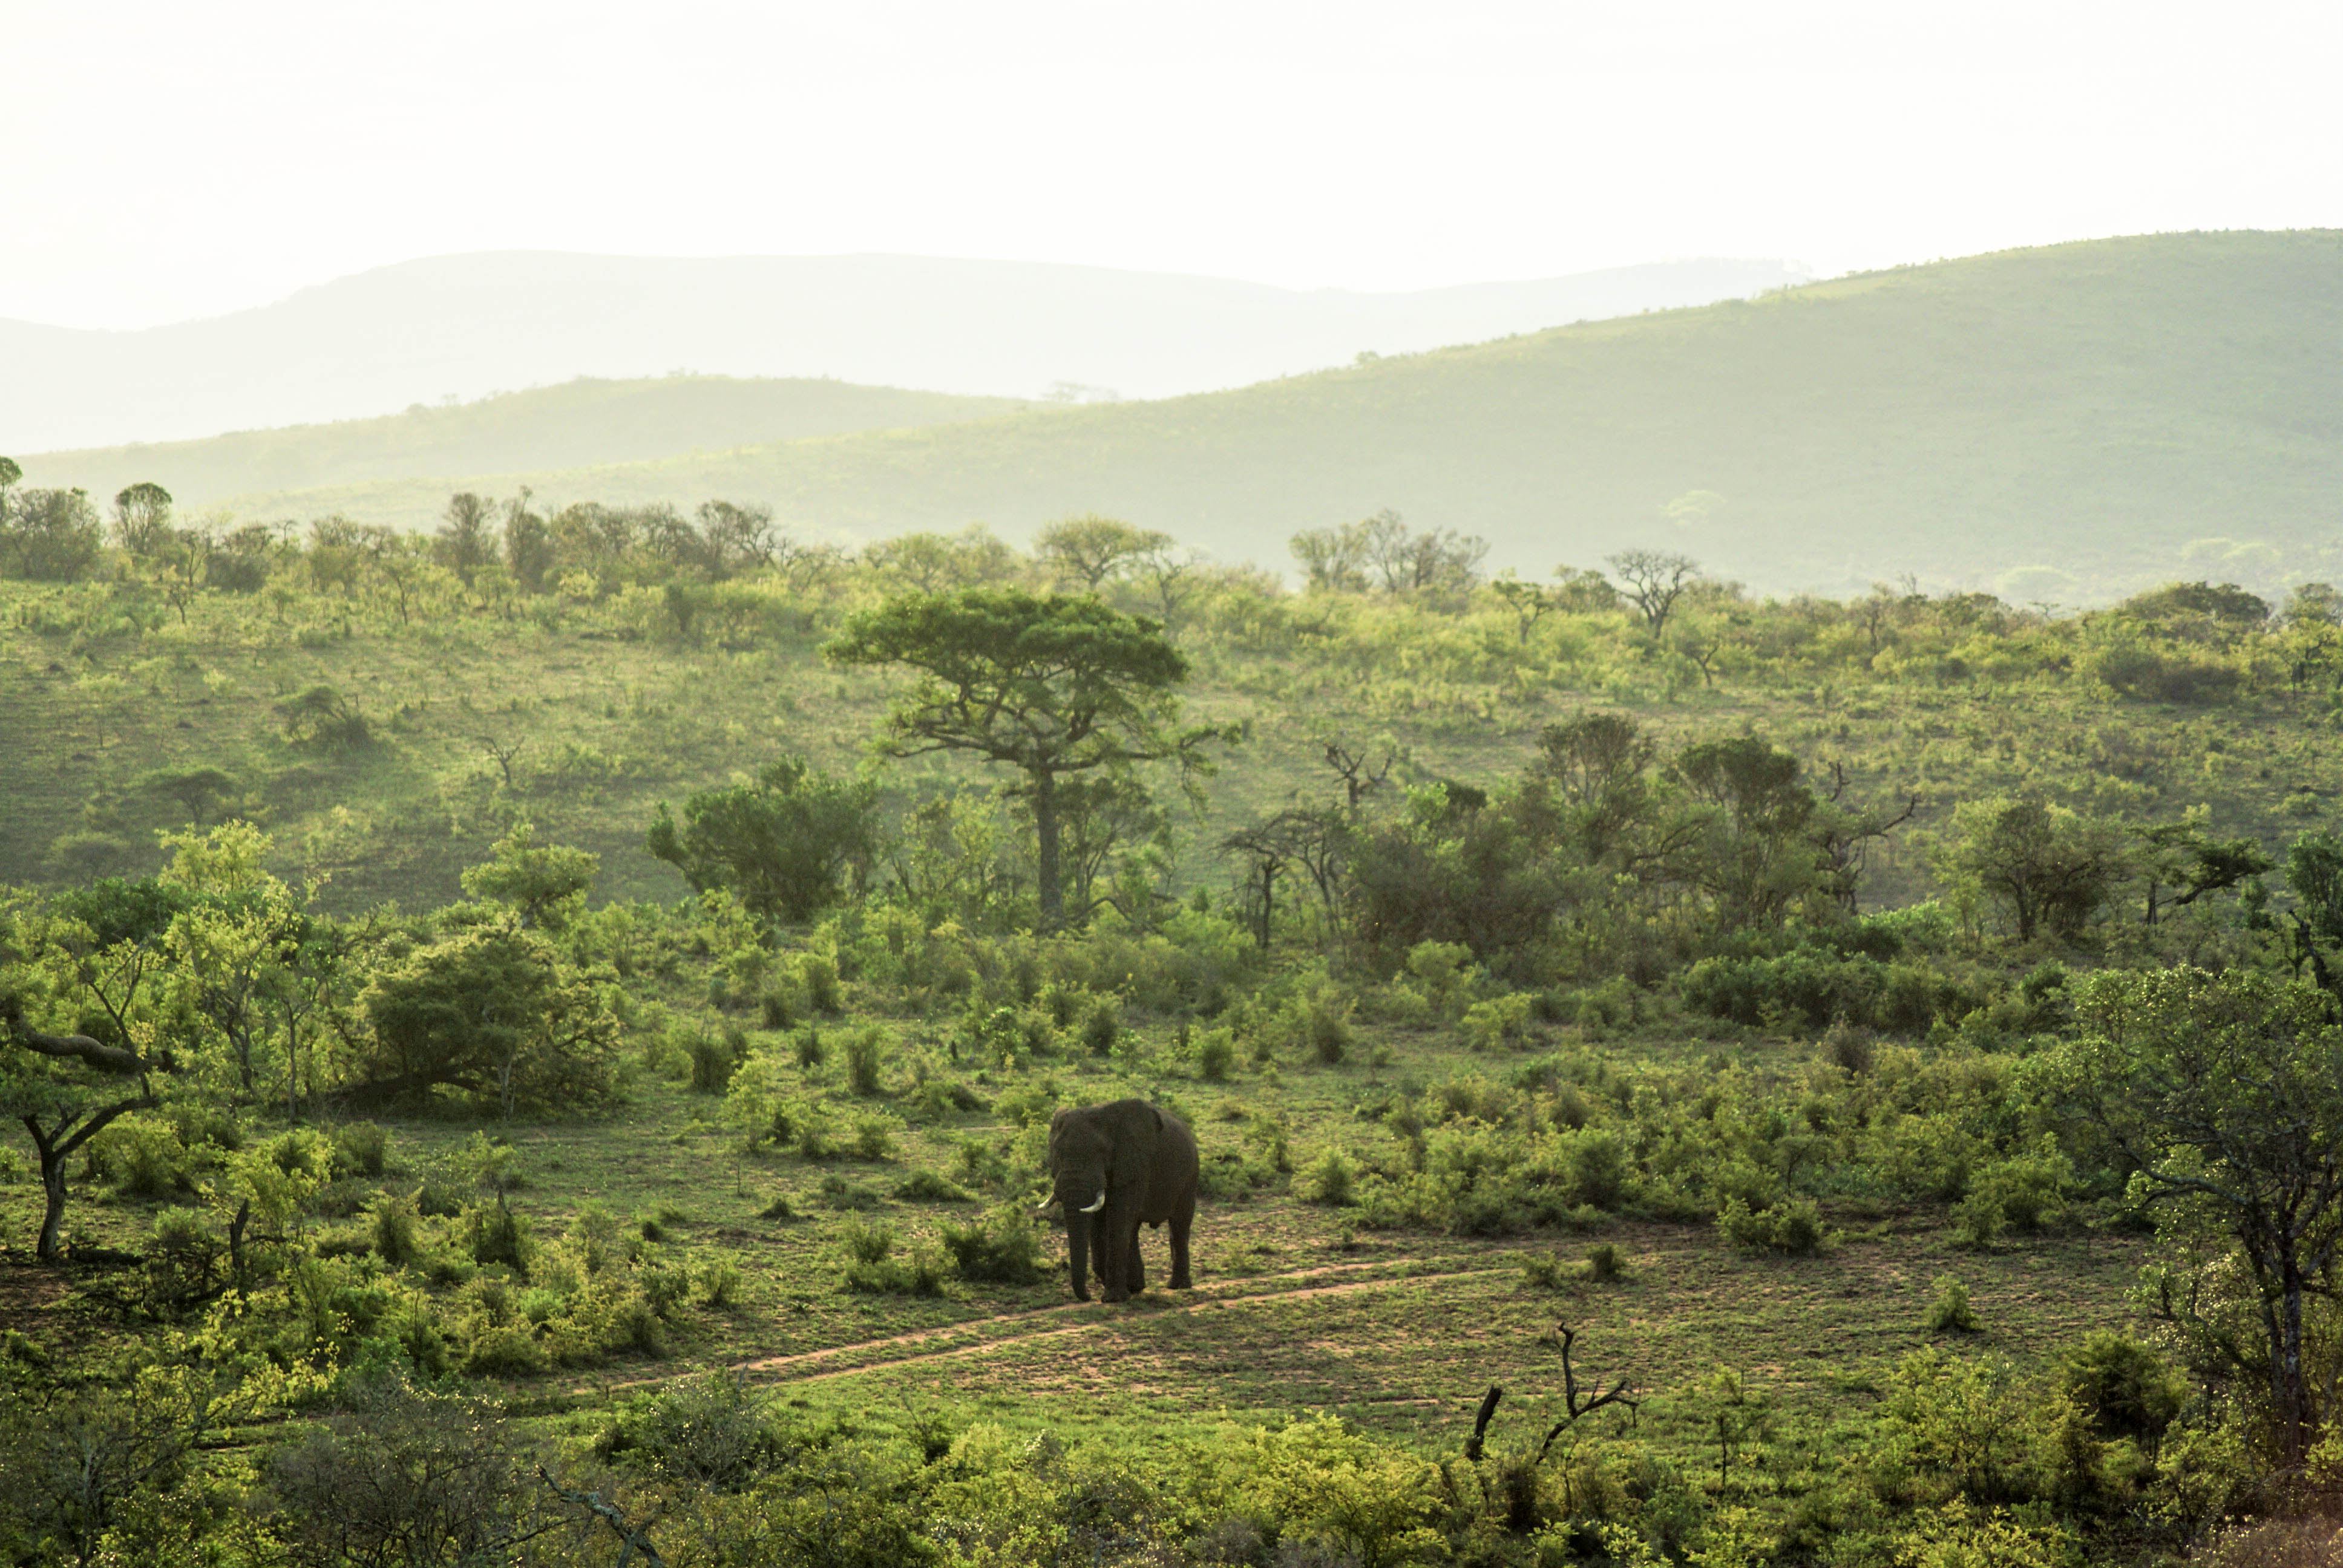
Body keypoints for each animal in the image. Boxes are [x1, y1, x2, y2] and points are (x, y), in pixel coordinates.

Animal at [1044, 1097, 1199, 1303]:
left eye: (1102, 1152)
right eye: (1058, 1152)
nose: (1088, 1297)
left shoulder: (1136, 1164)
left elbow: (1118, 1216)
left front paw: (1113, 1299)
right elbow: (1099, 1220)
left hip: (1191, 1176)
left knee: (1179, 1225)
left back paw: (1178, 1286)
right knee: (1133, 1229)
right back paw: (1137, 1287)